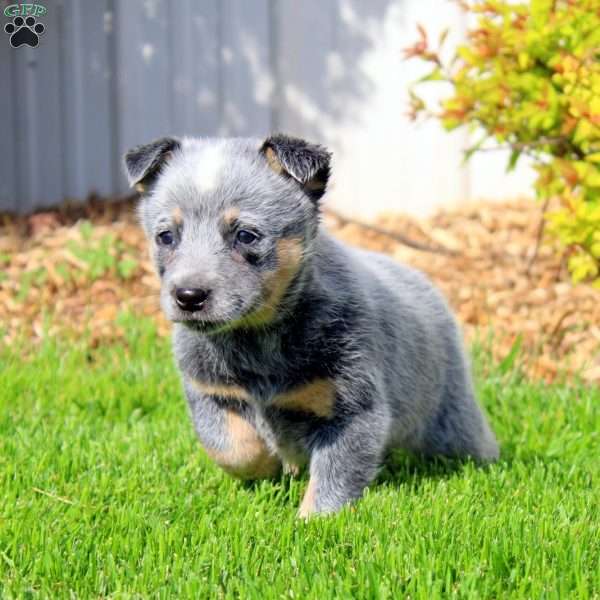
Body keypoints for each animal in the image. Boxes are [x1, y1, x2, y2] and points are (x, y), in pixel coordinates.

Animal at [124, 135, 500, 516]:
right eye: (166, 236)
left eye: (245, 235)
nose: (188, 296)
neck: (257, 339)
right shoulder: (208, 391)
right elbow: (233, 449)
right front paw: (270, 465)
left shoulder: (353, 409)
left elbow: (333, 478)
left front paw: (313, 521)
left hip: (451, 413)